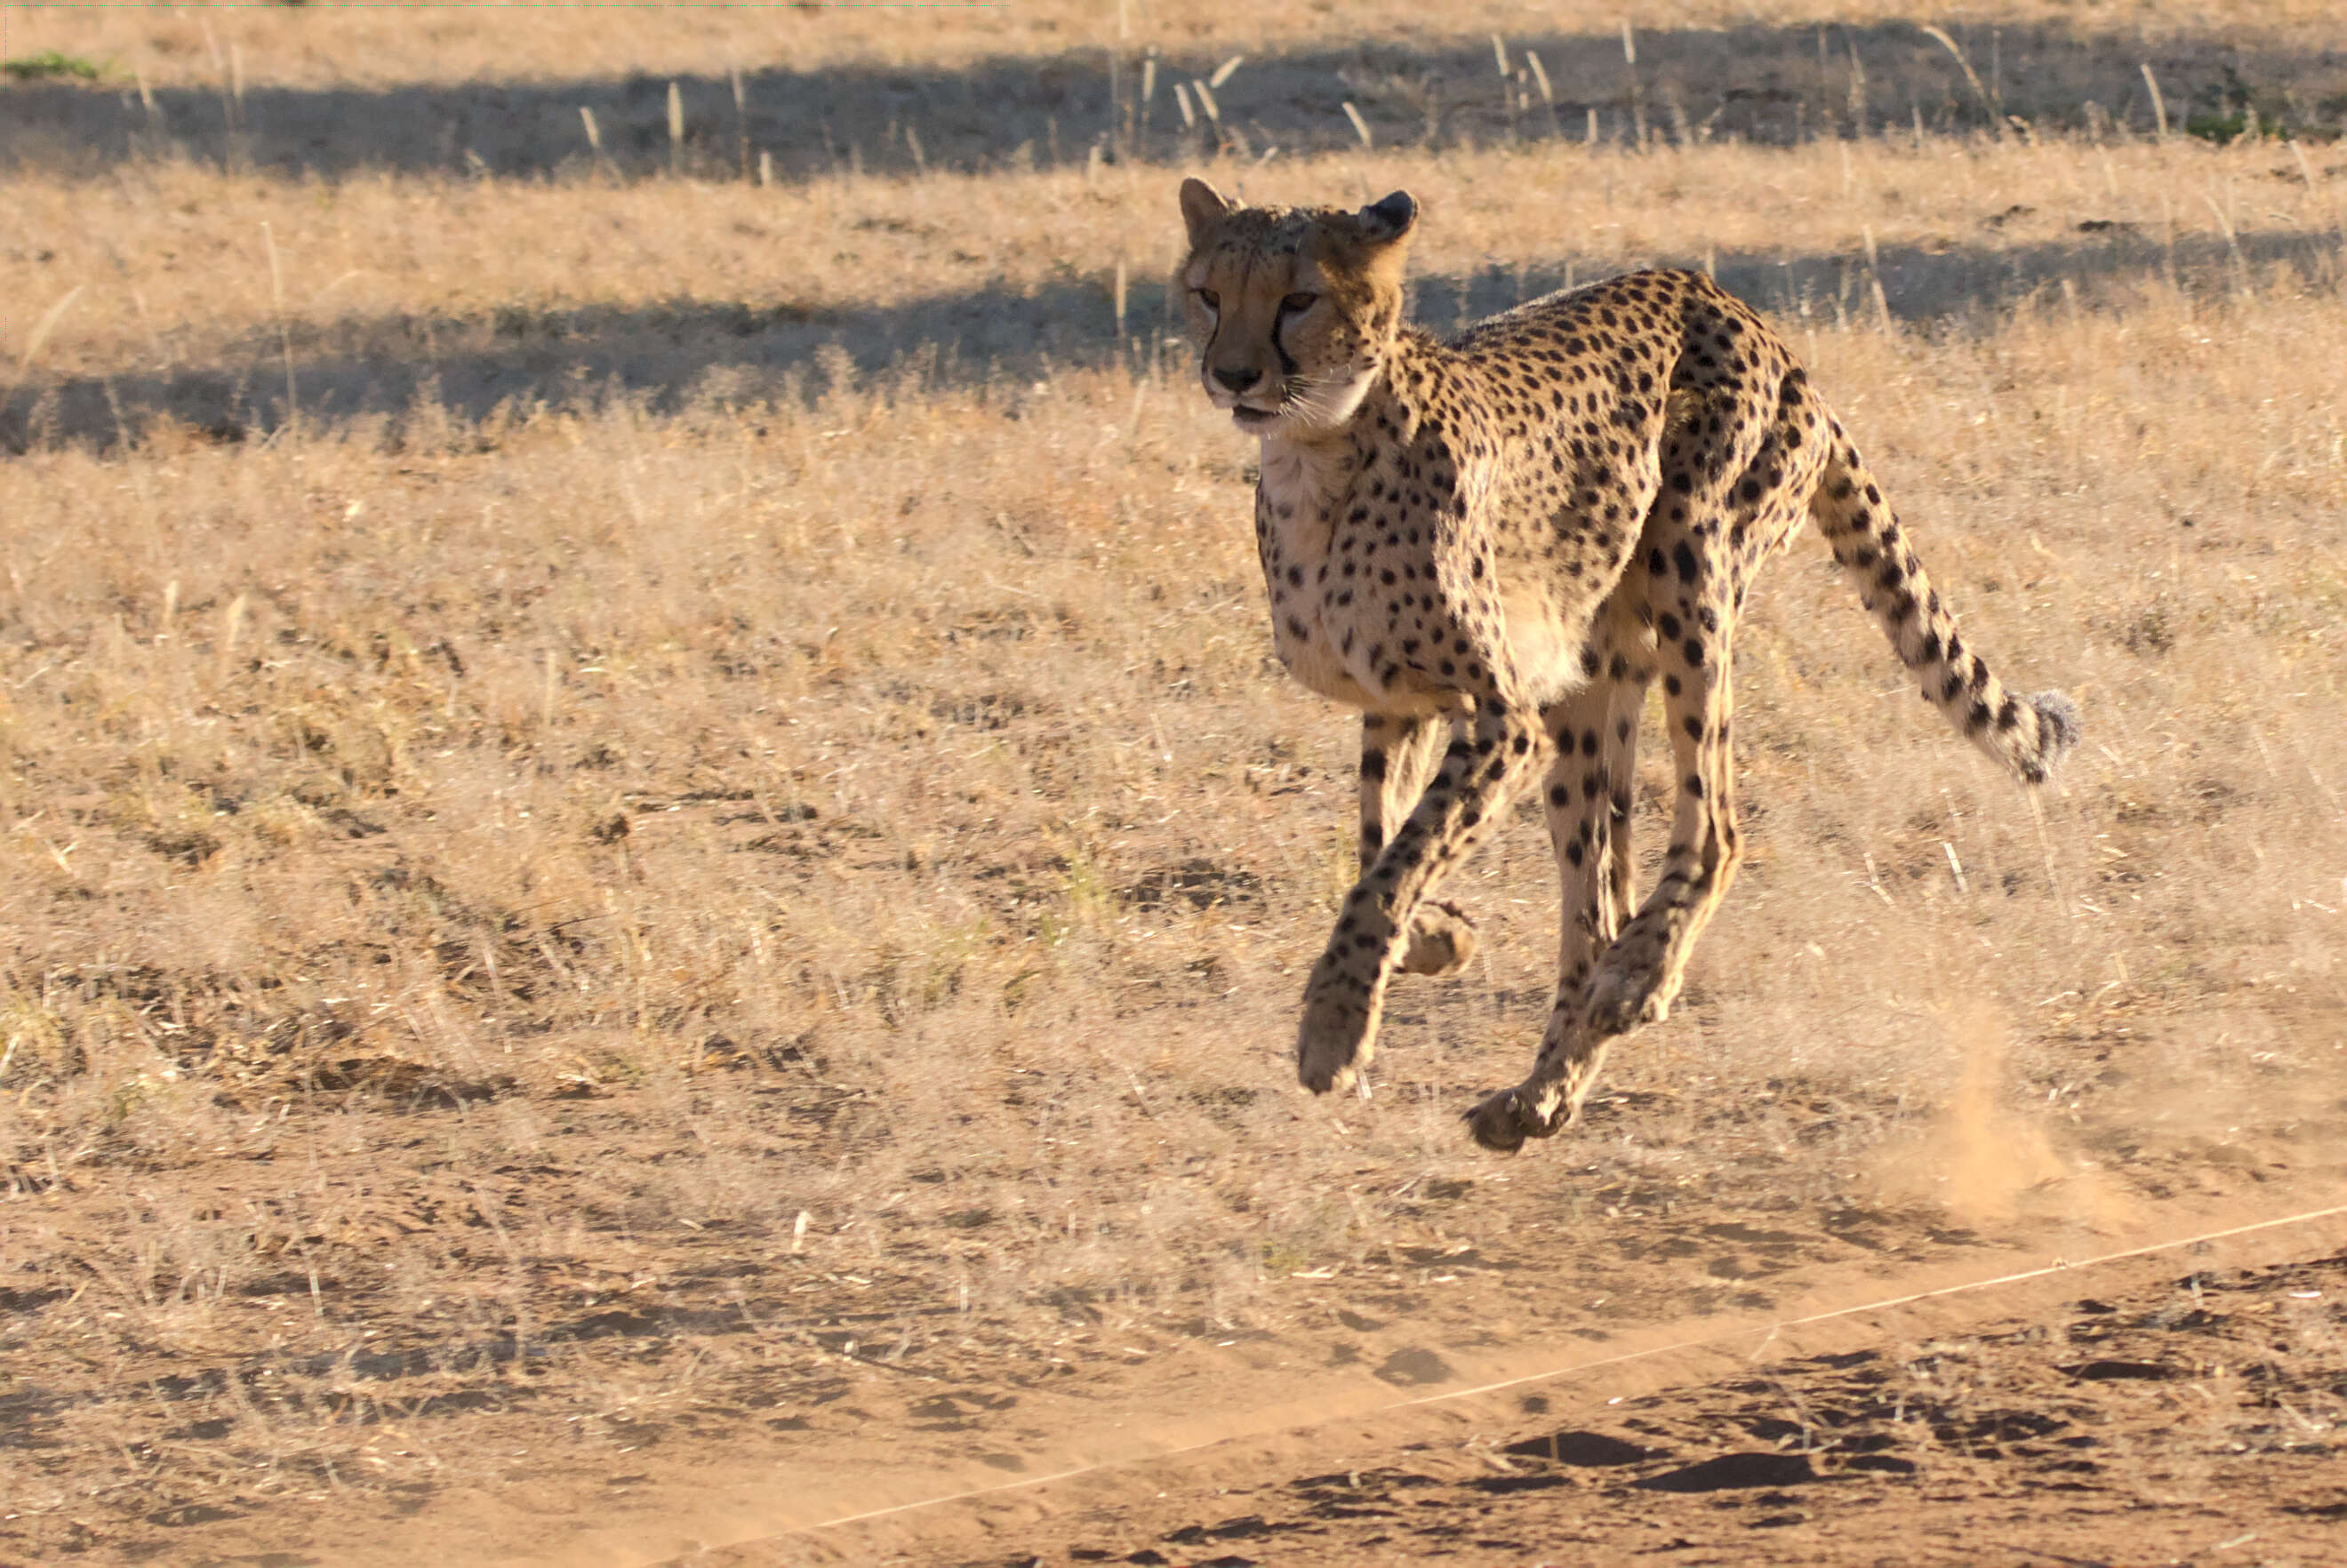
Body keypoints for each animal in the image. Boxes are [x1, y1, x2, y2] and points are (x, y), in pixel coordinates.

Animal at [1174, 180, 2074, 1149]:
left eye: (1299, 299)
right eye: (1209, 294)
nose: (1233, 375)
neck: (1321, 453)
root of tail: (1739, 309)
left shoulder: (1503, 719)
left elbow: (1391, 869)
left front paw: (1334, 1032)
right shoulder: (1403, 702)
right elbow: (1383, 842)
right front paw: (1437, 935)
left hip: (1693, 564)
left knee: (1713, 826)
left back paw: (1638, 979)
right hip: (1591, 679)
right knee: (1599, 899)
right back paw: (1545, 1089)